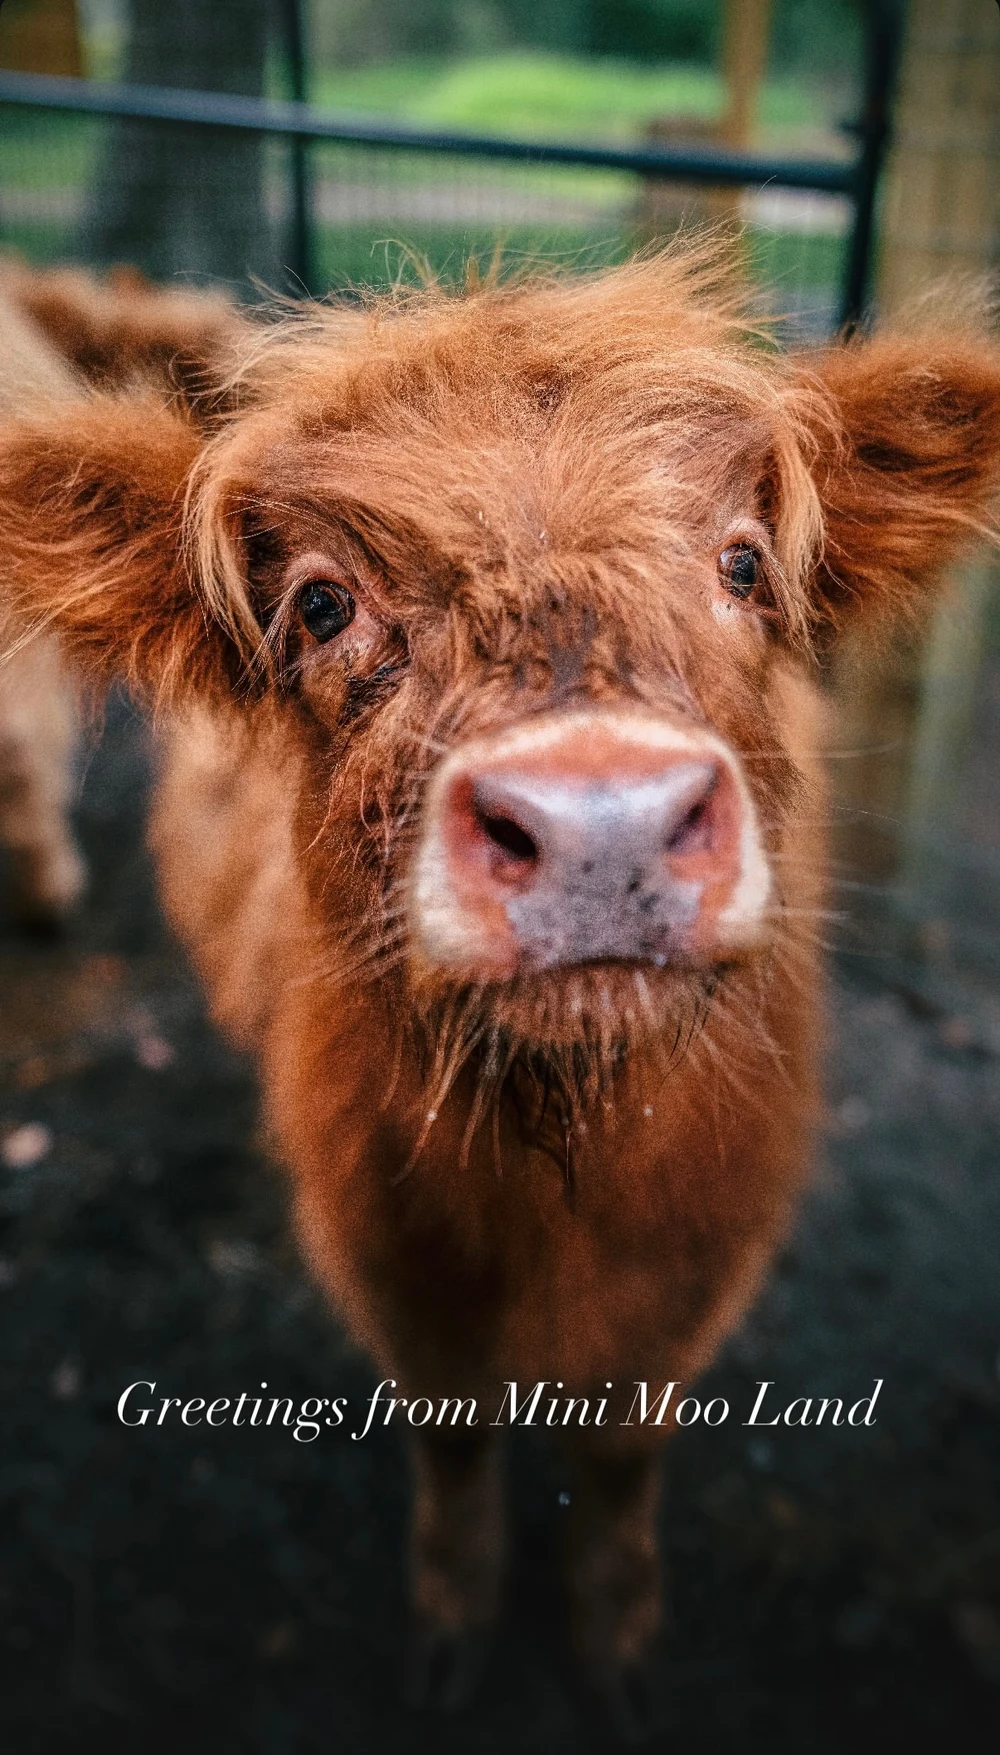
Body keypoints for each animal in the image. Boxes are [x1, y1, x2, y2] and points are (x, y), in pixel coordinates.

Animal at [1, 248, 998, 1737]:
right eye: (322, 602)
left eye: (741, 563)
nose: (600, 823)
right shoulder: (387, 1253)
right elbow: (455, 1435)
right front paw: (452, 1624)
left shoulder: (701, 1255)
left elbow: (627, 1452)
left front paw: (618, 1636)